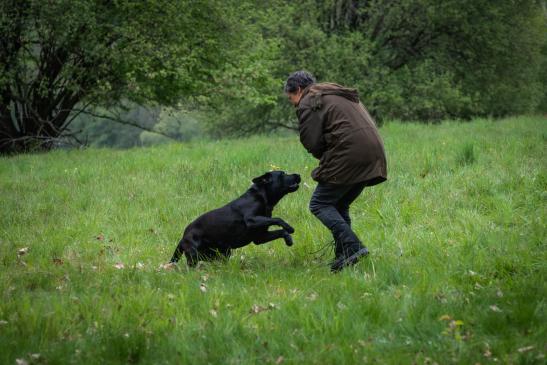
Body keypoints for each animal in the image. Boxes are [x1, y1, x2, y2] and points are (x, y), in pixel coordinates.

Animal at [170, 169, 302, 266]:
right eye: (283, 174)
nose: (298, 175)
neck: (262, 196)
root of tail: (183, 238)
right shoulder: (251, 219)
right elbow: (278, 219)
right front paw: (289, 228)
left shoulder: (260, 237)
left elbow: (280, 231)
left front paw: (288, 239)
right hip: (196, 255)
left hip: (219, 253)